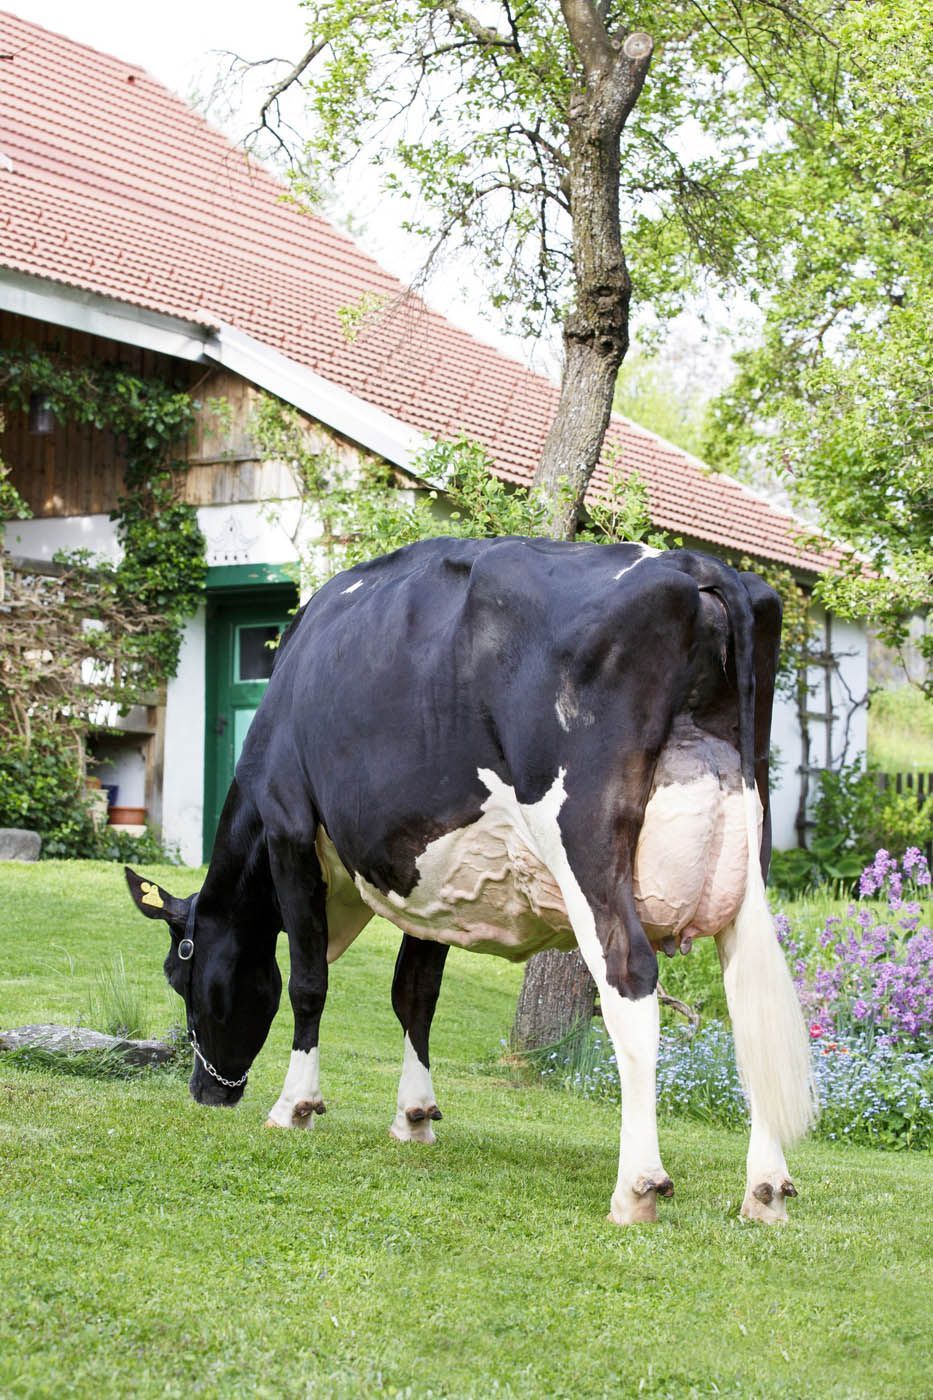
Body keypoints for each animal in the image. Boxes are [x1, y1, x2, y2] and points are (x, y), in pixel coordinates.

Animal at [127, 537, 815, 1224]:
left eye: (179, 972)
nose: (207, 1091)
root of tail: (697, 565)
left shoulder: (289, 825)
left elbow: (307, 982)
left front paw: (295, 1105)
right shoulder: (434, 874)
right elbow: (415, 992)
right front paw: (413, 1115)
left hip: (587, 841)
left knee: (630, 977)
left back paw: (638, 1184)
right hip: (750, 856)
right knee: (750, 1003)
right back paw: (766, 1187)